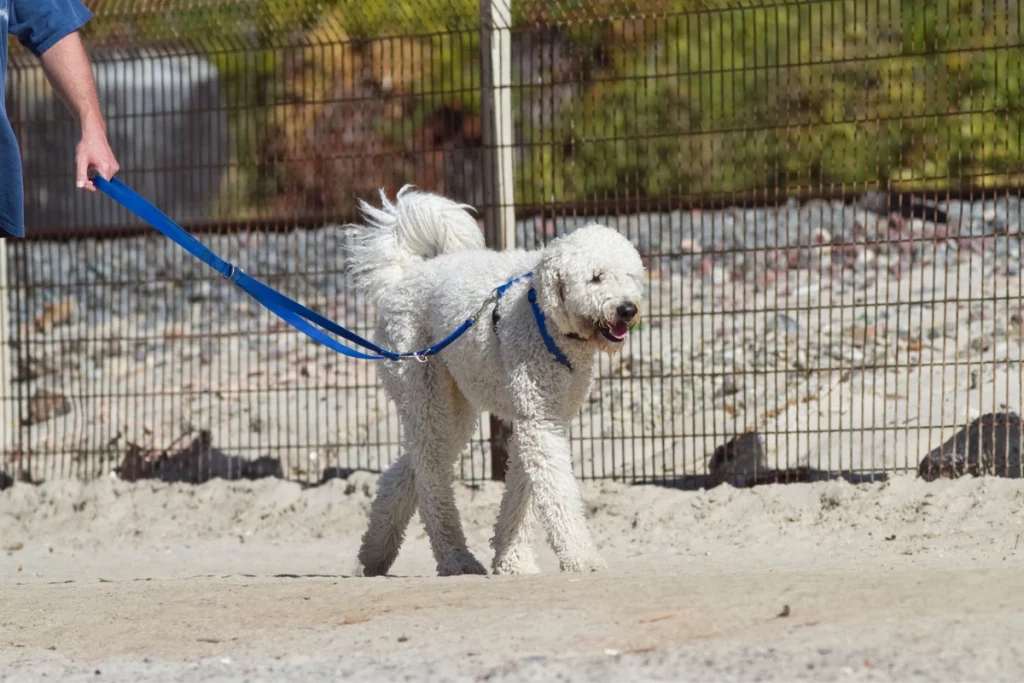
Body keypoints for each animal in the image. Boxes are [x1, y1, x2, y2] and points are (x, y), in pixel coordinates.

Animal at [348, 187, 643, 577]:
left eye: (631, 276)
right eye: (596, 277)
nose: (628, 309)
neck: (546, 315)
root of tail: (402, 278)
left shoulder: (540, 420)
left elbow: (522, 492)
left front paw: (512, 559)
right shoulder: (539, 422)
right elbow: (558, 492)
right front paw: (582, 557)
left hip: (454, 408)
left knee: (402, 473)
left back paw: (373, 554)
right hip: (422, 393)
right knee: (430, 476)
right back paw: (456, 558)